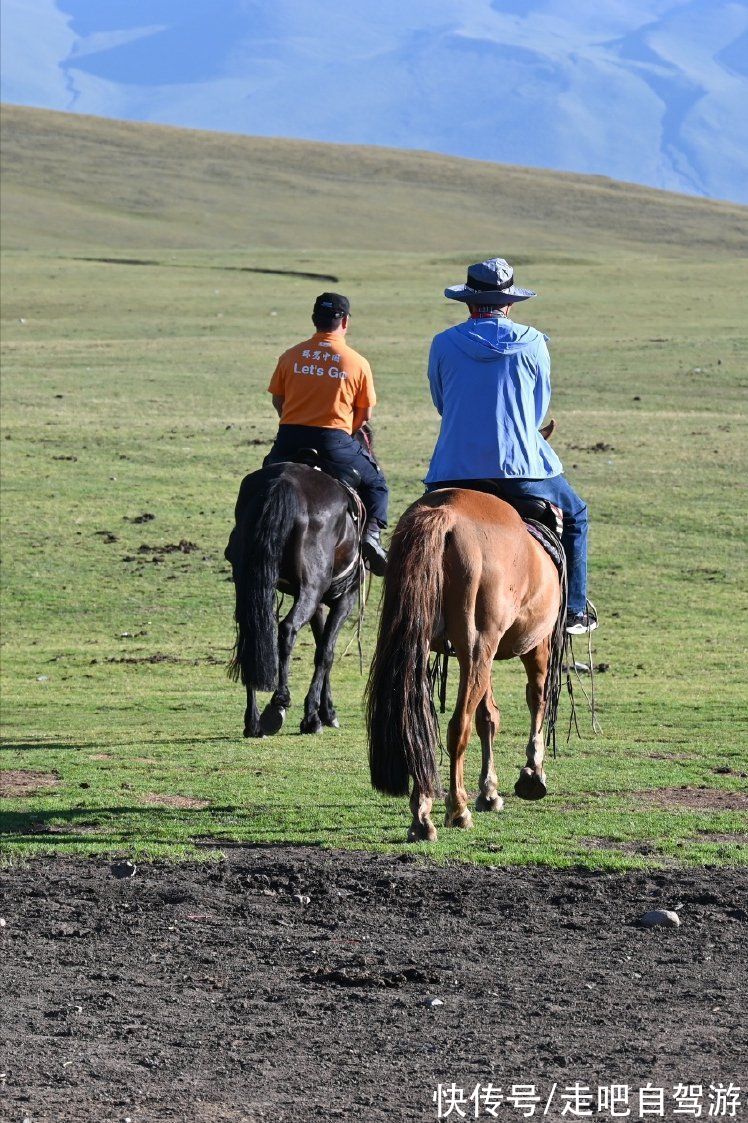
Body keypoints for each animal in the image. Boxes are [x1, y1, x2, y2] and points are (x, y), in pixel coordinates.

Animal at [363, 491, 561, 844]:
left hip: (421, 640)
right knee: (459, 726)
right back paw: (457, 809)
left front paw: (490, 792)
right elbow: (536, 699)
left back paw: (422, 814)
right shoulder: (535, 643)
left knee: (419, 722)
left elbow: (489, 717)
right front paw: (533, 772)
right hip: (478, 646)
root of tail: (446, 511)